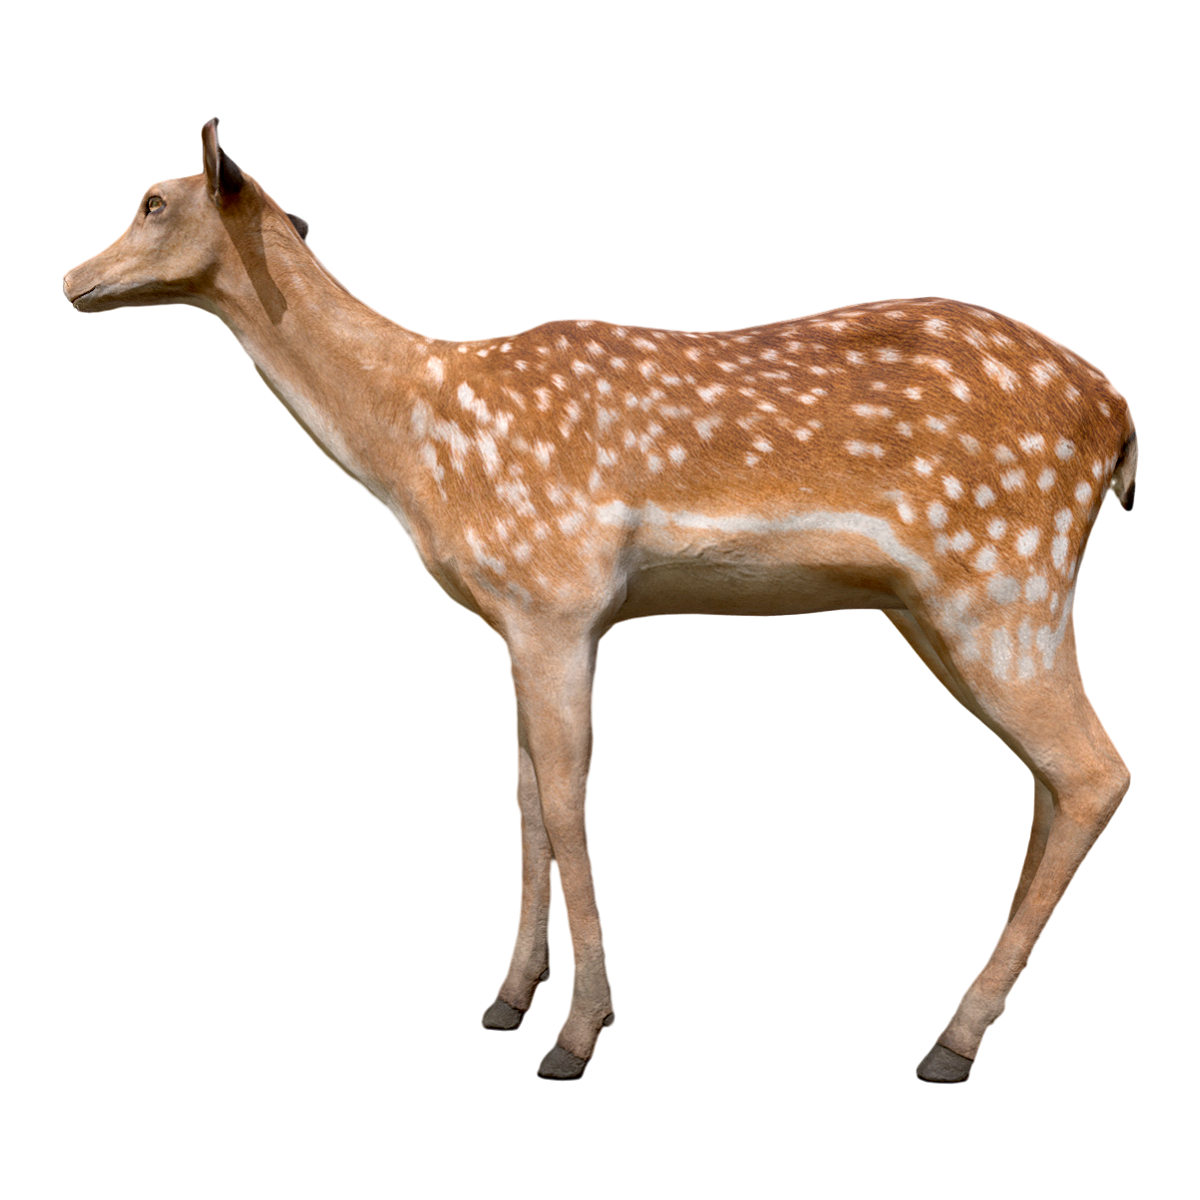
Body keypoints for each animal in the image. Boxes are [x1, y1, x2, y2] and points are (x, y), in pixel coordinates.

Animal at [63, 119, 1138, 1084]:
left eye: (154, 201)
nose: (72, 281)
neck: (421, 443)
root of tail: (1111, 413)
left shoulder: (558, 588)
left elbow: (569, 799)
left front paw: (575, 1036)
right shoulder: (517, 610)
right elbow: (529, 799)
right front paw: (506, 1005)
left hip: (1002, 578)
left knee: (1092, 768)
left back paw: (952, 1040)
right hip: (947, 601)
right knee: (1056, 780)